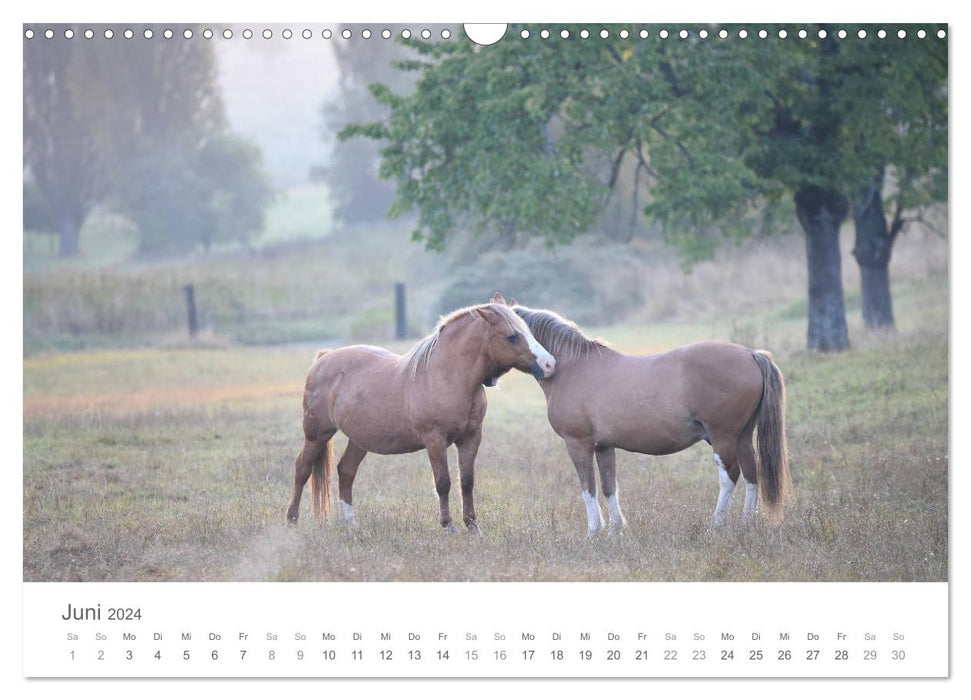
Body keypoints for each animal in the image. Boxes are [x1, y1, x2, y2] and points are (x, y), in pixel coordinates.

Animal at [282, 302, 556, 536]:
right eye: (512, 336)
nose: (549, 364)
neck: (446, 376)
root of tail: (323, 358)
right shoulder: (435, 440)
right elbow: (443, 482)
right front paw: (449, 526)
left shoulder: (471, 438)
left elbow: (467, 482)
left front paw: (473, 527)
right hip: (317, 433)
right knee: (302, 469)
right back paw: (292, 520)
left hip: (359, 440)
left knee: (346, 471)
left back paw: (350, 523)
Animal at [504, 296, 792, 536]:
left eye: (517, 334)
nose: (546, 364)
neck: (572, 367)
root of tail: (751, 354)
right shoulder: (604, 446)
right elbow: (609, 486)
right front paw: (616, 531)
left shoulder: (578, 444)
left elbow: (589, 488)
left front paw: (594, 533)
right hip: (742, 436)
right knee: (751, 474)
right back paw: (746, 524)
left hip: (723, 437)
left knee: (729, 476)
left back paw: (716, 526)